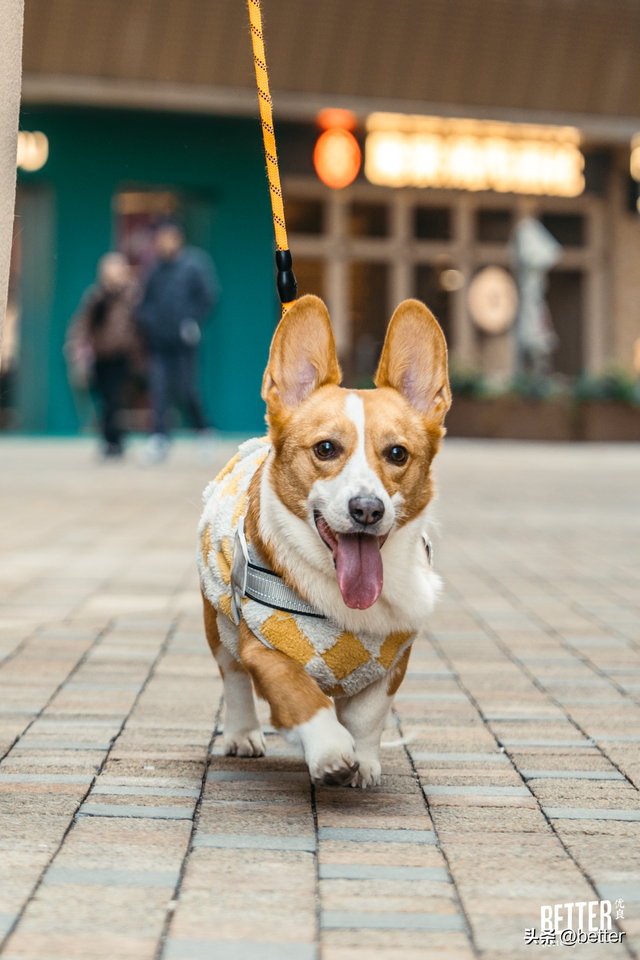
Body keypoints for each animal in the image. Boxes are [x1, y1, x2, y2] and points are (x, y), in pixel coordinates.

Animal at [198, 294, 452, 788]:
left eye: (397, 454)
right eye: (326, 449)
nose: (367, 509)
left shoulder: (392, 660)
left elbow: (368, 717)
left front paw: (364, 763)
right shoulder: (265, 650)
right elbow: (302, 696)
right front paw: (332, 752)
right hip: (217, 622)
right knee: (233, 678)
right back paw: (242, 735)